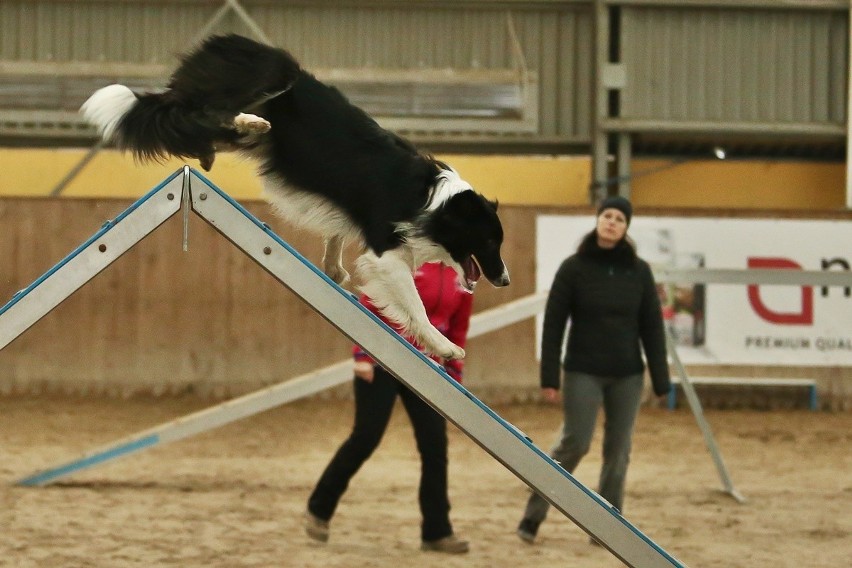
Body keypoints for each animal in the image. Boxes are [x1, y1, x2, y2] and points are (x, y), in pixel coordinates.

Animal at [81, 34, 506, 360]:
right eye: (488, 240)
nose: (504, 280)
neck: (434, 203)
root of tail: (214, 44)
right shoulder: (385, 252)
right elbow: (415, 304)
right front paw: (445, 346)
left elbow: (337, 237)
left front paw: (334, 271)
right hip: (274, 68)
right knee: (202, 111)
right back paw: (250, 120)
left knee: (193, 123)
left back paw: (224, 140)